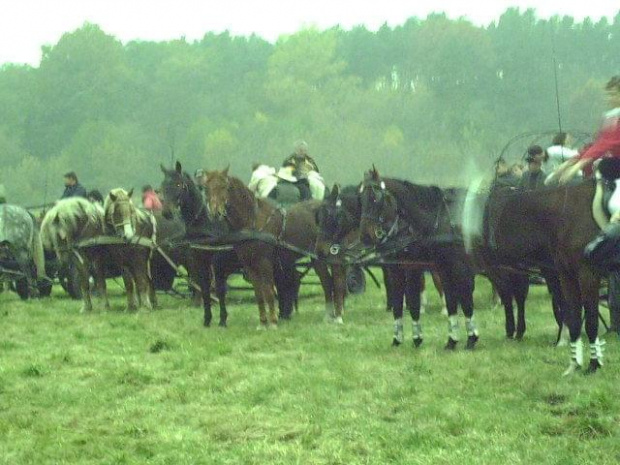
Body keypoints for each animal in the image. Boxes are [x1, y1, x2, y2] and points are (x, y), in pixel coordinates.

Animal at [203, 167, 334, 326]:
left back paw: (329, 315)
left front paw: (272, 322)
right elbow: (259, 293)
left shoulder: (265, 262)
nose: (215, 212)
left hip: (319, 257)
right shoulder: (249, 265)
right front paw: (263, 322)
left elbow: (269, 291)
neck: (253, 221)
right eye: (206, 188)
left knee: (326, 282)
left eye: (225, 187)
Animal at [356, 167, 478, 348]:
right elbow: (398, 304)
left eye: (375, 198)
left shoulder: (419, 267)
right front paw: (397, 339)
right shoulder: (397, 269)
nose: (365, 236)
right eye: (360, 199)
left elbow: (416, 300)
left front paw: (417, 338)